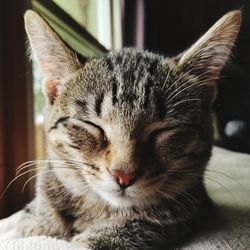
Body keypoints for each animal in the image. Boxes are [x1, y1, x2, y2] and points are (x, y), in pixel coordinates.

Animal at [0, 9, 241, 248]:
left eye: (161, 131)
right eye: (92, 125)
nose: (123, 175)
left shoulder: (194, 210)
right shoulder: (32, 214)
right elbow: (36, 225)